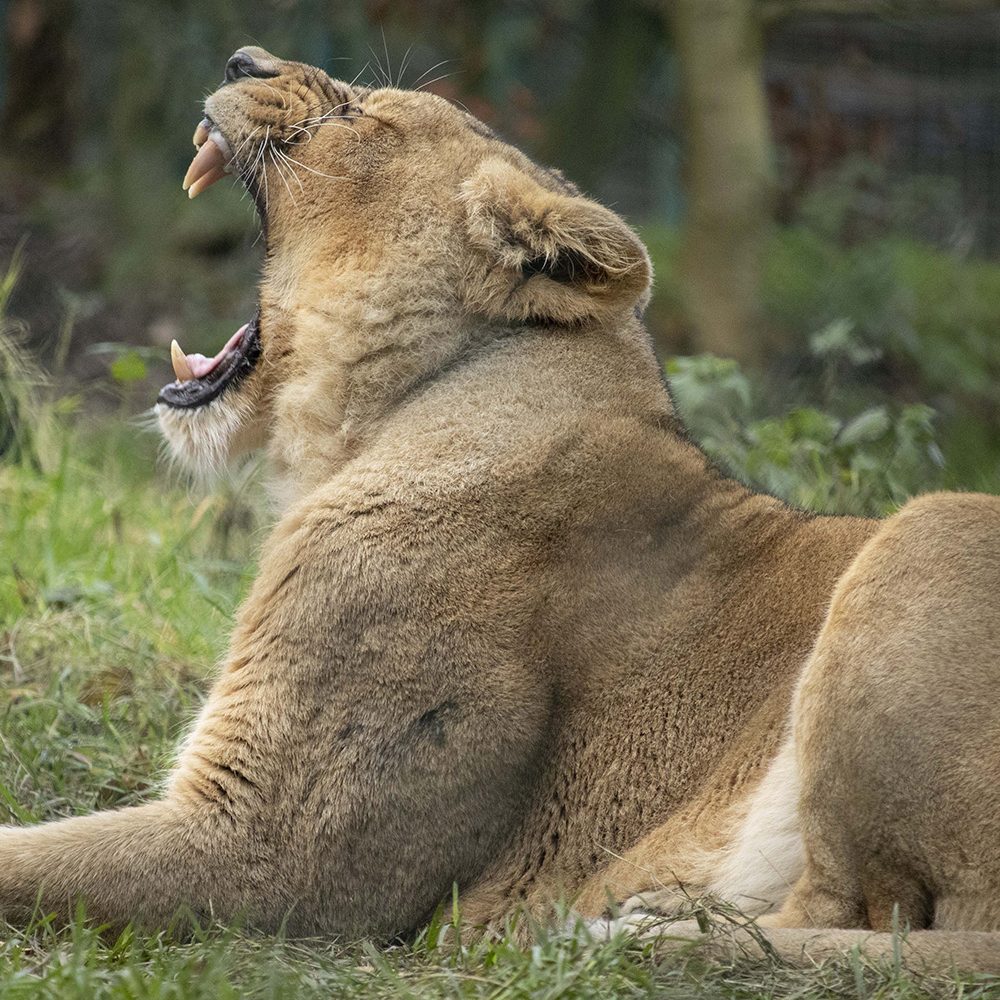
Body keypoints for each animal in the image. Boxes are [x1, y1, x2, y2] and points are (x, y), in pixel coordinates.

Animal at [5, 47, 1000, 968]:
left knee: (860, 917)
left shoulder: (269, 850)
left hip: (928, 531)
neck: (395, 413)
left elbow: (28, 864)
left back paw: (623, 933)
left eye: (359, 115)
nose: (241, 58)